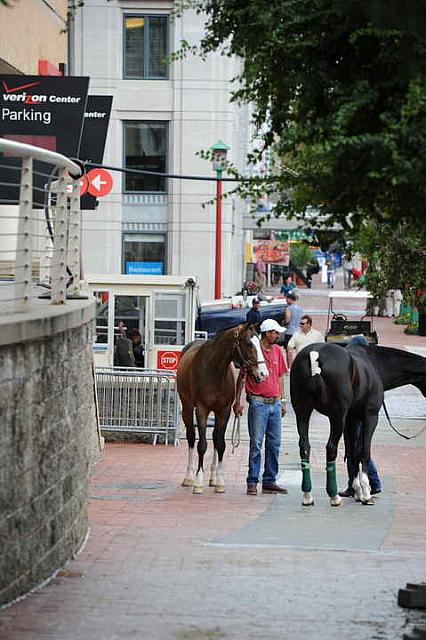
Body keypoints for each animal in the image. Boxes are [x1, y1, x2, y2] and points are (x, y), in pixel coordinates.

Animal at [176, 322, 268, 492]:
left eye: (259, 342)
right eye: (249, 343)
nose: (263, 374)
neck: (214, 370)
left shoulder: (224, 411)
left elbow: (220, 444)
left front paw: (219, 481)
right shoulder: (202, 410)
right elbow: (202, 445)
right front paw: (198, 481)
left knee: (214, 437)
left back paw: (212, 477)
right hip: (187, 407)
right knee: (191, 437)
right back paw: (189, 477)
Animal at [290, 342, 426, 508]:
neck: (374, 363)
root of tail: (316, 353)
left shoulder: (351, 419)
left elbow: (352, 453)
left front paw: (357, 491)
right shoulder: (369, 417)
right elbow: (364, 451)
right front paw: (366, 494)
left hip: (302, 412)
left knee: (304, 447)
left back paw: (307, 496)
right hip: (337, 417)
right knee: (331, 448)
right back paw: (334, 497)